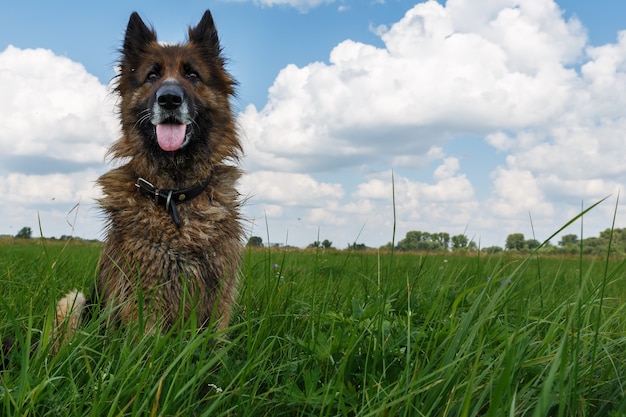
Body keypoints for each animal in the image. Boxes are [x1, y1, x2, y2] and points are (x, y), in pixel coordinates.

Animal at [54, 8, 243, 342]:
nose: (169, 98)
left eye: (192, 75)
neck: (175, 197)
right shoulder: (144, 297)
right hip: (75, 302)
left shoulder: (219, 296)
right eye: (152, 76)